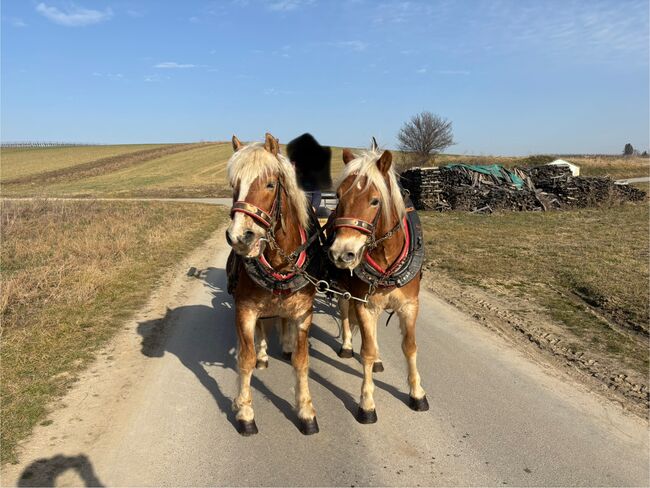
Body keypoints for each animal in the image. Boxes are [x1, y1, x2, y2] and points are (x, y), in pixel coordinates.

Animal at [224, 132, 322, 434]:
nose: (239, 237)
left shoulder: (303, 313)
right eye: (234, 185)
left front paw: (306, 411)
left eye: (269, 184)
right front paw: (245, 412)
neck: (280, 263)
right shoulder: (245, 310)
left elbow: (302, 362)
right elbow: (245, 359)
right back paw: (264, 354)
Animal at [330, 141, 426, 424]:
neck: (386, 260)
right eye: (339, 196)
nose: (343, 253)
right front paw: (367, 403)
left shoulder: (409, 305)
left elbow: (410, 347)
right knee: (345, 313)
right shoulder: (365, 305)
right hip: (344, 290)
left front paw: (417, 393)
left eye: (375, 200)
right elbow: (367, 351)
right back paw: (347, 345)